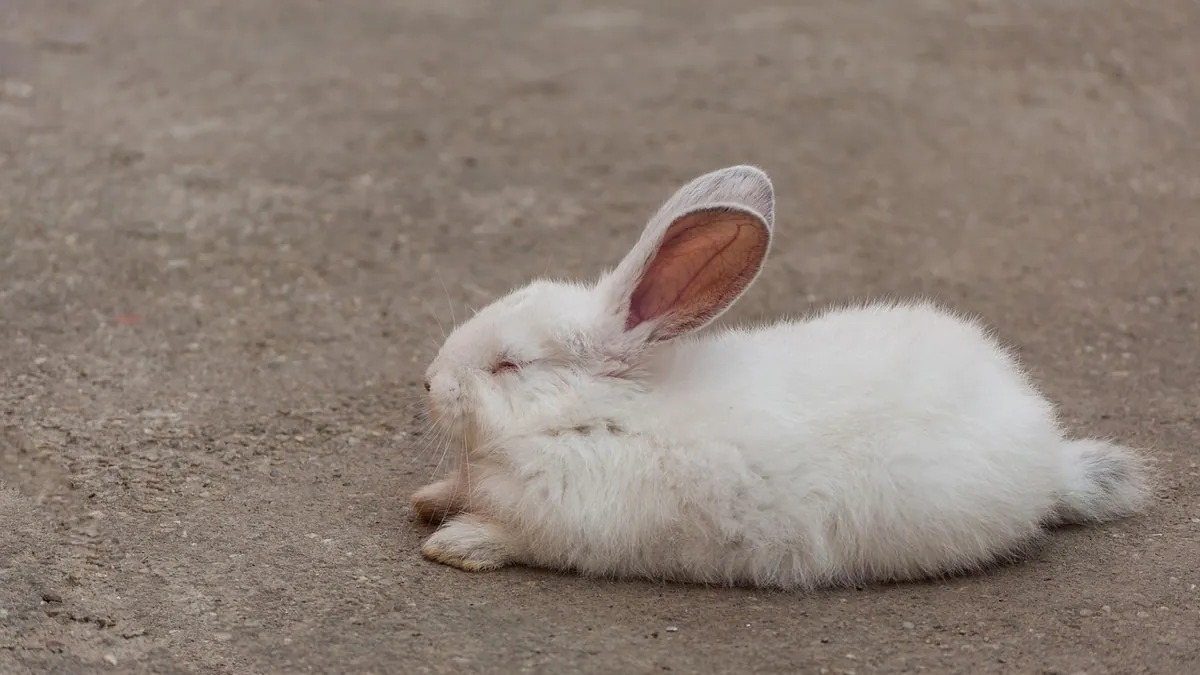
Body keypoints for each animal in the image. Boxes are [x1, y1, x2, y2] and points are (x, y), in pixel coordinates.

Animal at [409, 165, 1151, 589]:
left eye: (509, 365)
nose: (429, 381)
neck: (592, 413)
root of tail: (1051, 456)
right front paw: (426, 500)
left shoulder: (570, 526)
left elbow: (513, 538)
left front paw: (455, 543)